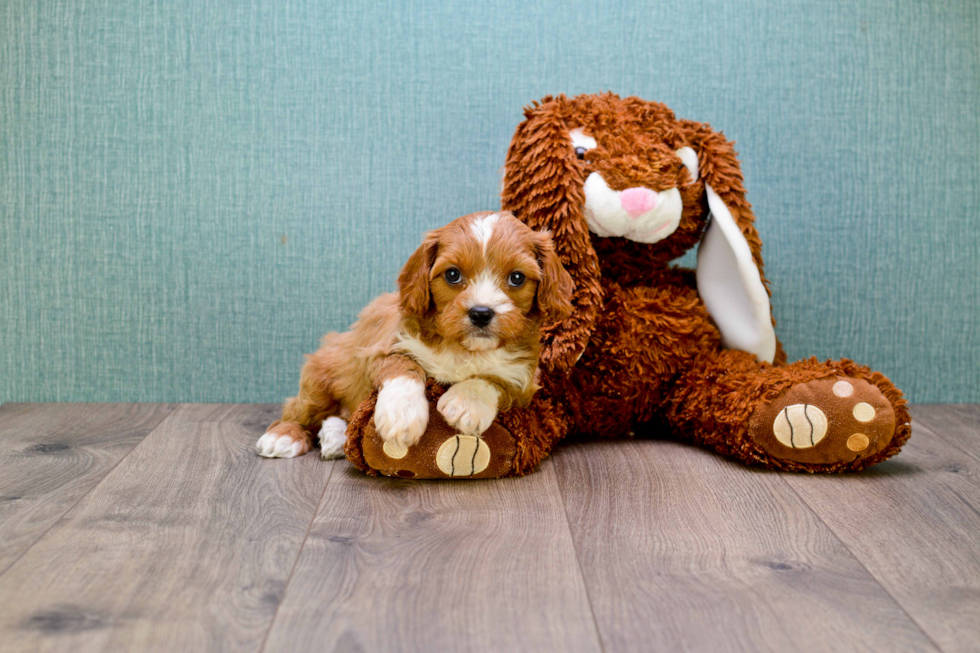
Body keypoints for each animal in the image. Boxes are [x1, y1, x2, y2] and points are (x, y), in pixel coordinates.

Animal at [256, 211, 576, 460]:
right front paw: (402, 415)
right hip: (323, 374)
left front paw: (466, 403)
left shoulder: (524, 381)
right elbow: (404, 366)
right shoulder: (383, 348)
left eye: (517, 277)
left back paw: (335, 438)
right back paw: (284, 436)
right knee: (299, 409)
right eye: (452, 274)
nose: (481, 313)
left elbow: (493, 379)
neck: (464, 349)